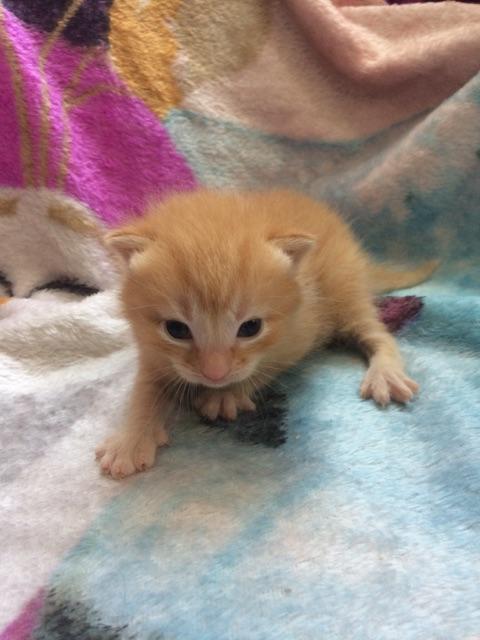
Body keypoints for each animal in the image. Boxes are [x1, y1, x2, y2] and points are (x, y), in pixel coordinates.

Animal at [95, 188, 436, 478]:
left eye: (251, 328)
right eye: (176, 330)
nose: (215, 374)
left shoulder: (300, 330)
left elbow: (266, 367)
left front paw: (228, 393)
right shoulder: (151, 349)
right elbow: (144, 389)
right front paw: (131, 438)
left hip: (343, 284)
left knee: (376, 331)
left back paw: (386, 372)